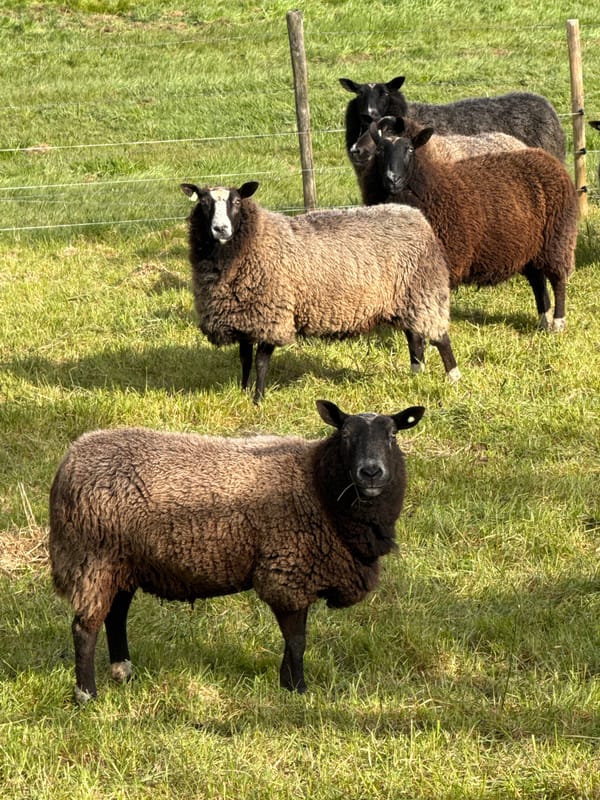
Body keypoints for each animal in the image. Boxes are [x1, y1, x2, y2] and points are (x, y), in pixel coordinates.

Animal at [49, 398, 426, 702]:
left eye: (392, 435)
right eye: (345, 434)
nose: (371, 472)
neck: (319, 487)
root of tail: (70, 460)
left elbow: (294, 639)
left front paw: (286, 683)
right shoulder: (286, 572)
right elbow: (297, 640)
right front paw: (298, 690)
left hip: (122, 563)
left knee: (115, 614)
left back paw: (123, 672)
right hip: (93, 559)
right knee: (85, 627)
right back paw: (86, 694)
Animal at [180, 180, 460, 403]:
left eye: (236, 202)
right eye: (204, 203)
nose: (220, 229)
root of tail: (416, 216)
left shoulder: (272, 316)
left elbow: (260, 362)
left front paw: (258, 399)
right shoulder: (245, 317)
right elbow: (245, 359)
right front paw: (242, 391)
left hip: (425, 290)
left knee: (440, 337)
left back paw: (452, 377)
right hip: (407, 297)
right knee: (414, 337)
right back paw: (416, 374)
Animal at [366, 116, 578, 332]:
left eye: (409, 149)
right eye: (379, 150)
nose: (392, 179)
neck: (430, 186)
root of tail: (549, 159)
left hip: (558, 238)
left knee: (558, 280)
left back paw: (558, 323)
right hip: (532, 248)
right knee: (538, 281)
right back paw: (543, 321)